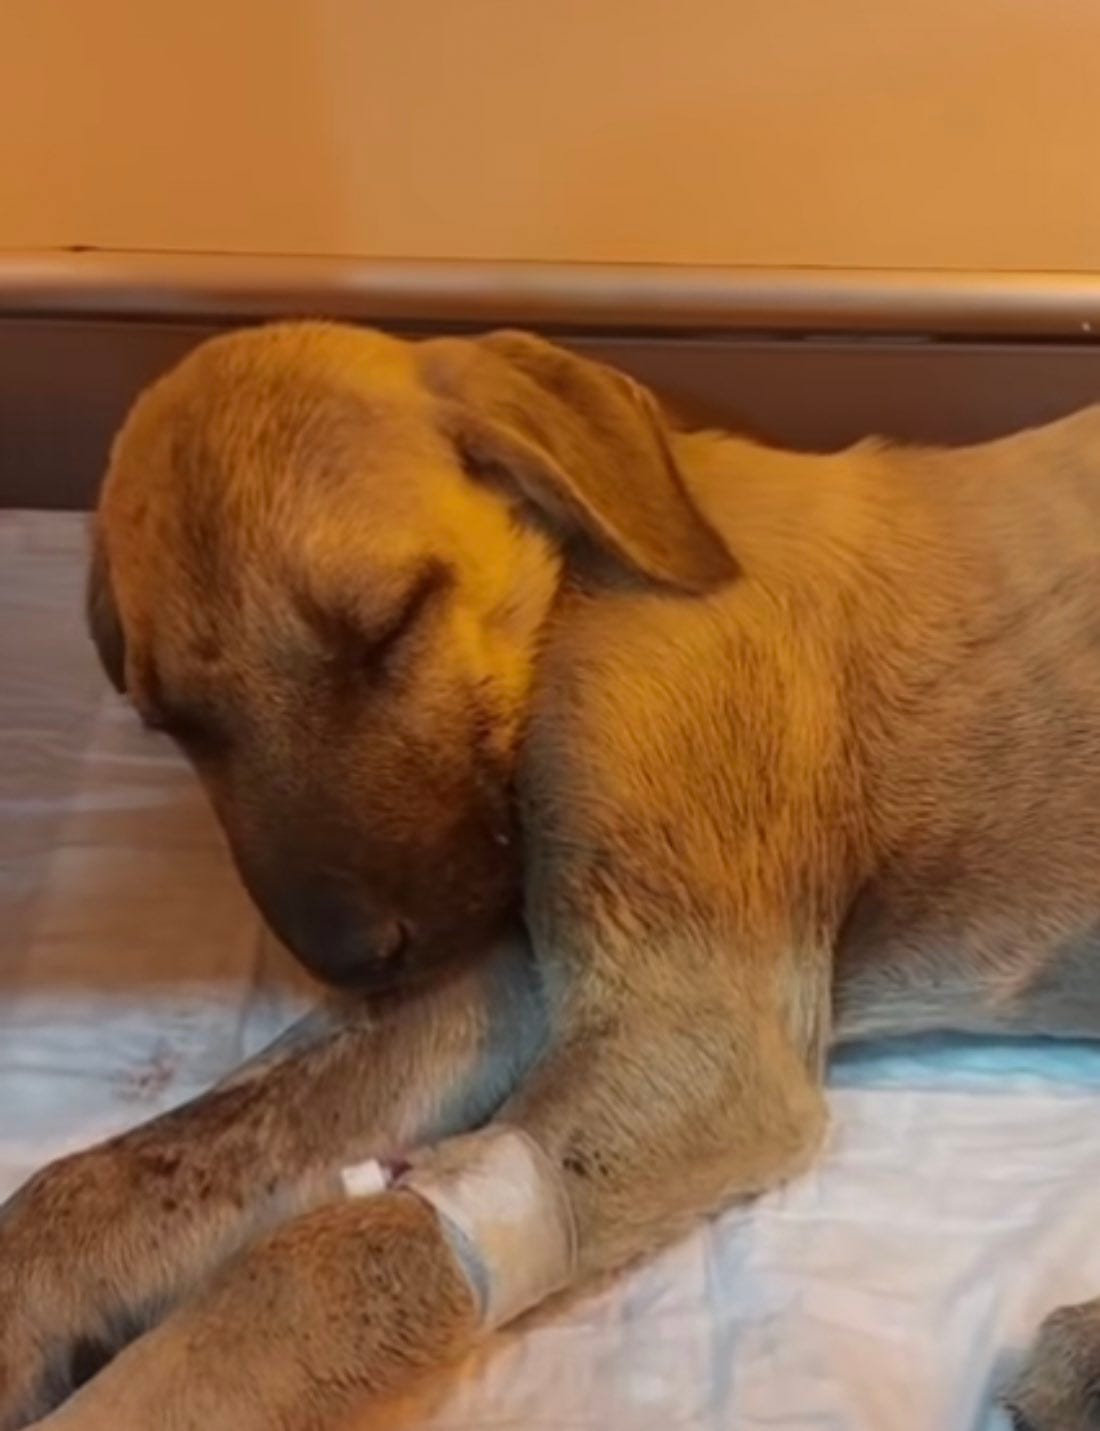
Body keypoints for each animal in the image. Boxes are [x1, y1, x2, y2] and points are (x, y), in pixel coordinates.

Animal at [2, 320, 1099, 1430]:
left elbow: (325, 1255)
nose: (349, 962)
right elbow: (134, 1169)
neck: (583, 582)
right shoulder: (506, 975)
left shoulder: (692, 1044)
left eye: (390, 626)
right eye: (171, 723)